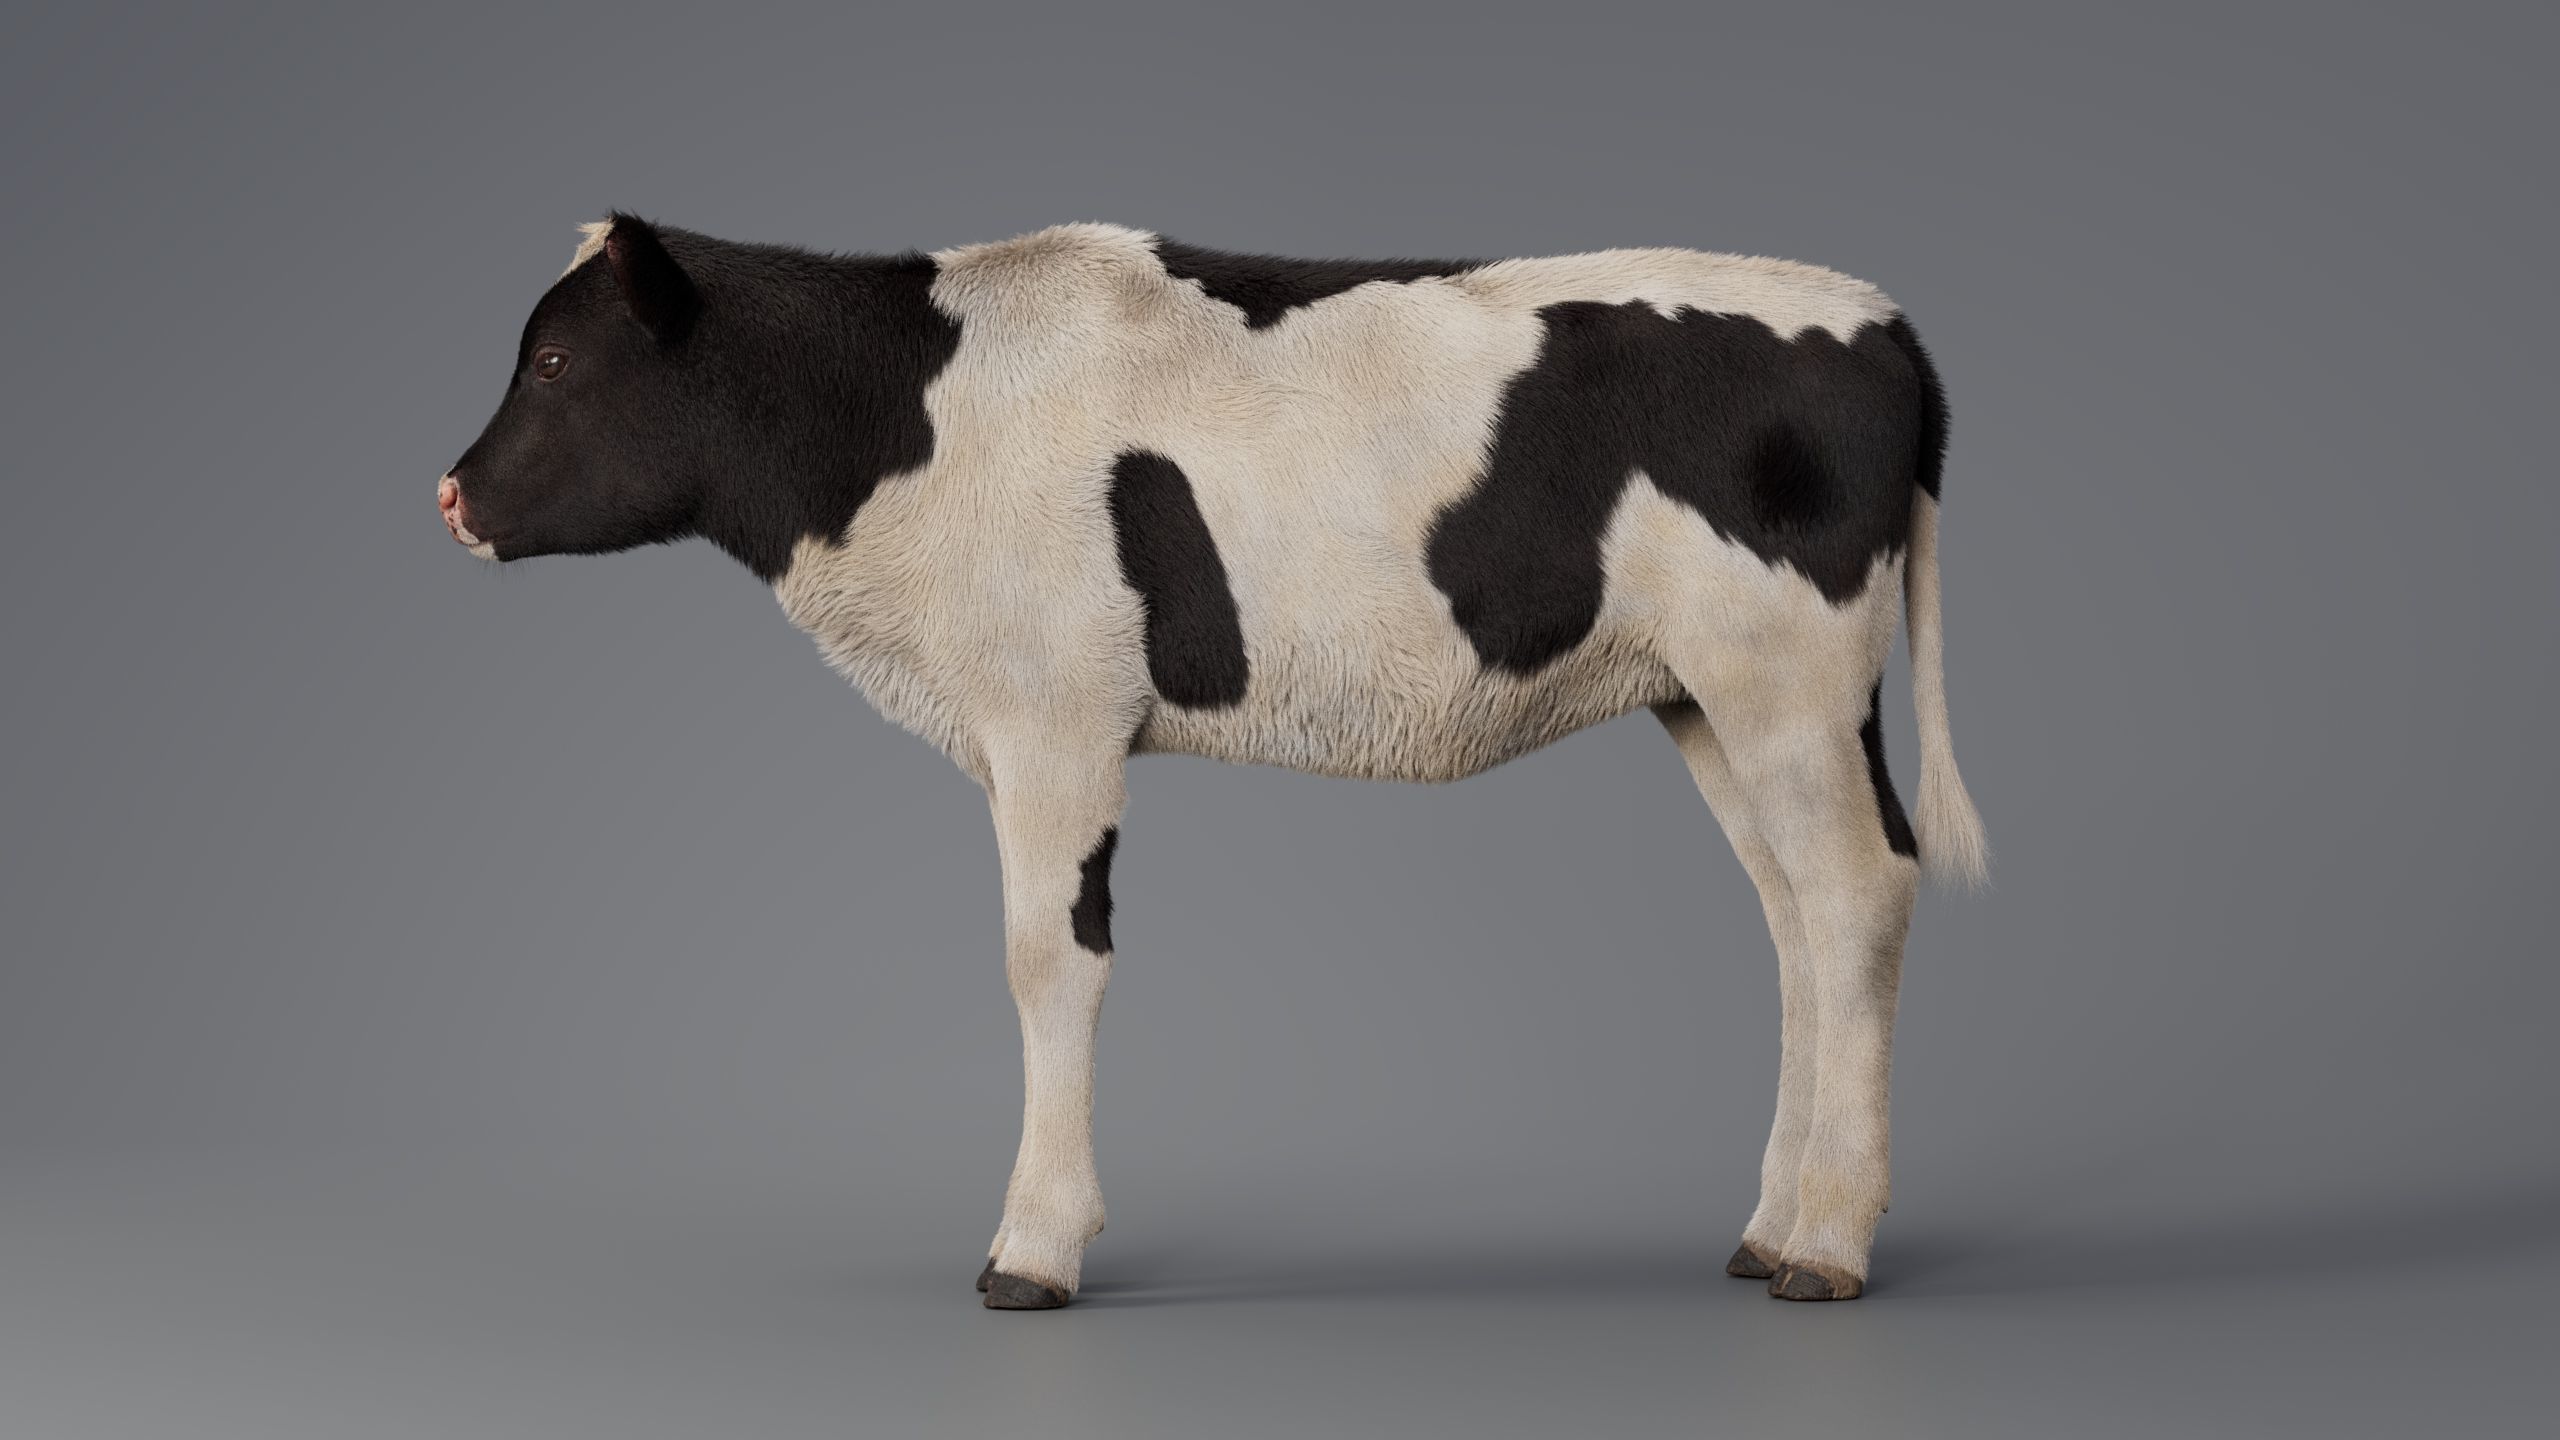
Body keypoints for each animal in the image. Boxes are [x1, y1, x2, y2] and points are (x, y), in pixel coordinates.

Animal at [436, 214, 1989, 1308]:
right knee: (1797, 918)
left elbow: (1048, 959)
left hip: (1788, 678)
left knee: (1856, 895)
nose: (449, 495)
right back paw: (1768, 1229)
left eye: (557, 360)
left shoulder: (1055, 716)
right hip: (1712, 700)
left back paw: (1826, 1249)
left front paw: (1032, 1249)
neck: (906, 419)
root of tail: (1881, 319)